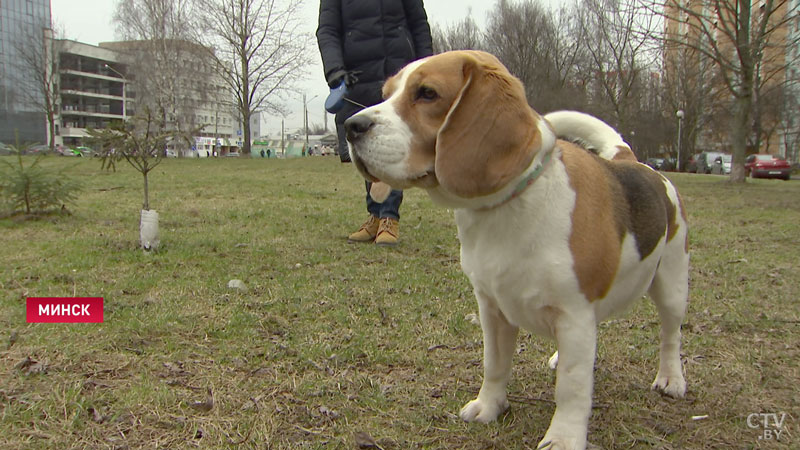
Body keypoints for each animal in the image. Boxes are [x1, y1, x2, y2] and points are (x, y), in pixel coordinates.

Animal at [344, 50, 688, 450]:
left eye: (427, 93)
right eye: (386, 93)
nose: (351, 125)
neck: (507, 207)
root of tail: (631, 161)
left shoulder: (574, 313)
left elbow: (572, 388)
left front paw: (563, 437)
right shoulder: (492, 308)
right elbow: (495, 365)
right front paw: (489, 407)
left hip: (671, 284)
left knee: (670, 335)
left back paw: (671, 379)